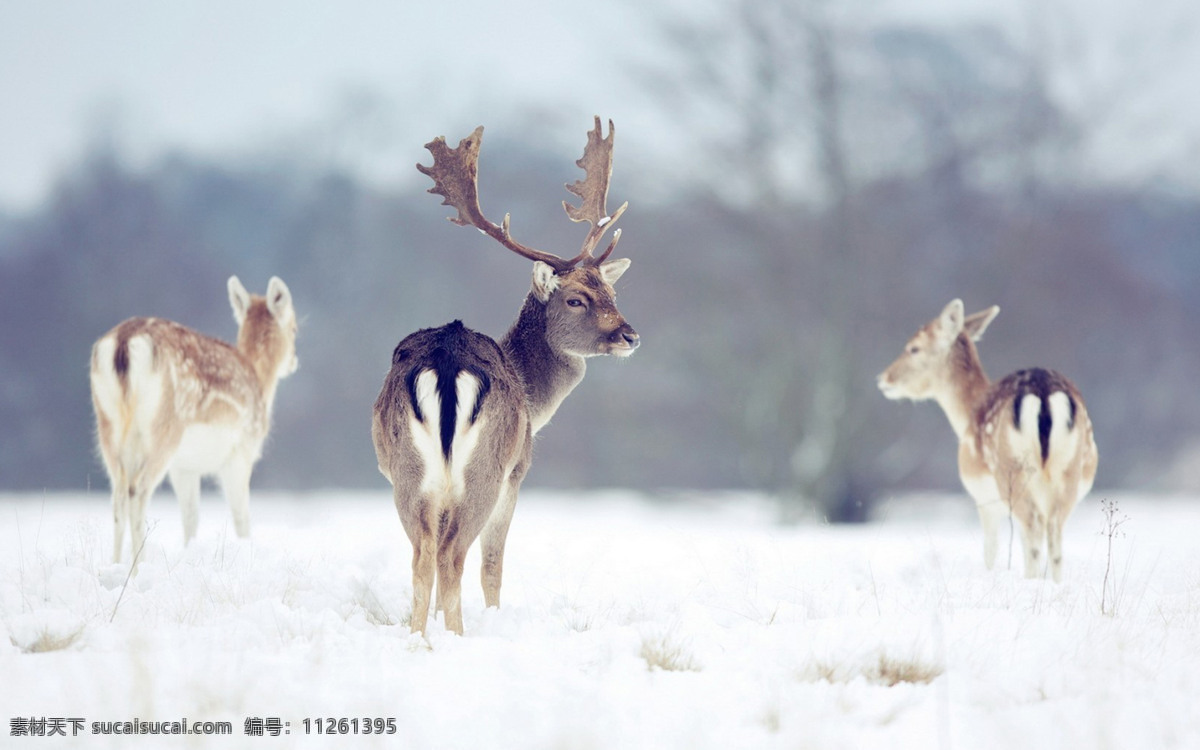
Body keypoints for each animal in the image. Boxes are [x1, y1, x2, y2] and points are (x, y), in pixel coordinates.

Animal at [372, 117, 638, 633]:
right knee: (453, 556)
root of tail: (447, 360)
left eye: (611, 291)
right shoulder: (517, 474)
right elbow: (492, 566)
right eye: (575, 298)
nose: (630, 335)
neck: (534, 398)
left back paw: (420, 638)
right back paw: (457, 636)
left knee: (423, 556)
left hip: (407, 473)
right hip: (485, 471)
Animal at [873, 298, 1099, 578]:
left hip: (1011, 473)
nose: (883, 378)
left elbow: (990, 550)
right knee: (1054, 534)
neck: (966, 415)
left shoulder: (983, 498)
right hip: (1069, 470)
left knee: (1034, 527)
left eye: (914, 348)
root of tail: (1044, 395)